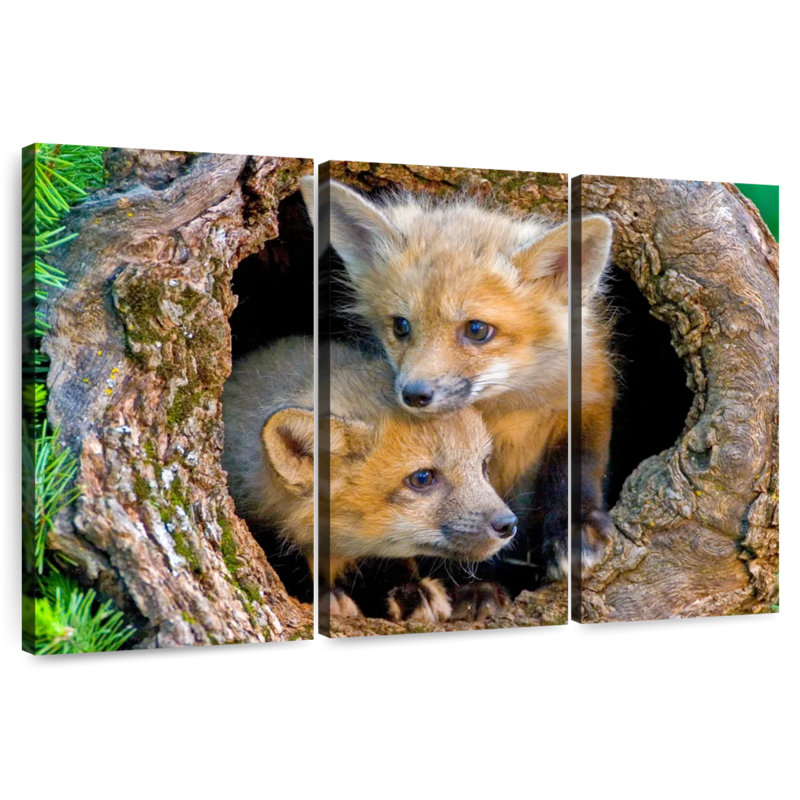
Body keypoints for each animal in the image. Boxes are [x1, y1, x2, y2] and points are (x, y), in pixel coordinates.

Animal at [300, 176, 615, 579]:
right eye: (401, 326)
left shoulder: (587, 393)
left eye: (477, 330)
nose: (414, 394)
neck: (505, 412)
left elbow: (578, 466)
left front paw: (574, 529)